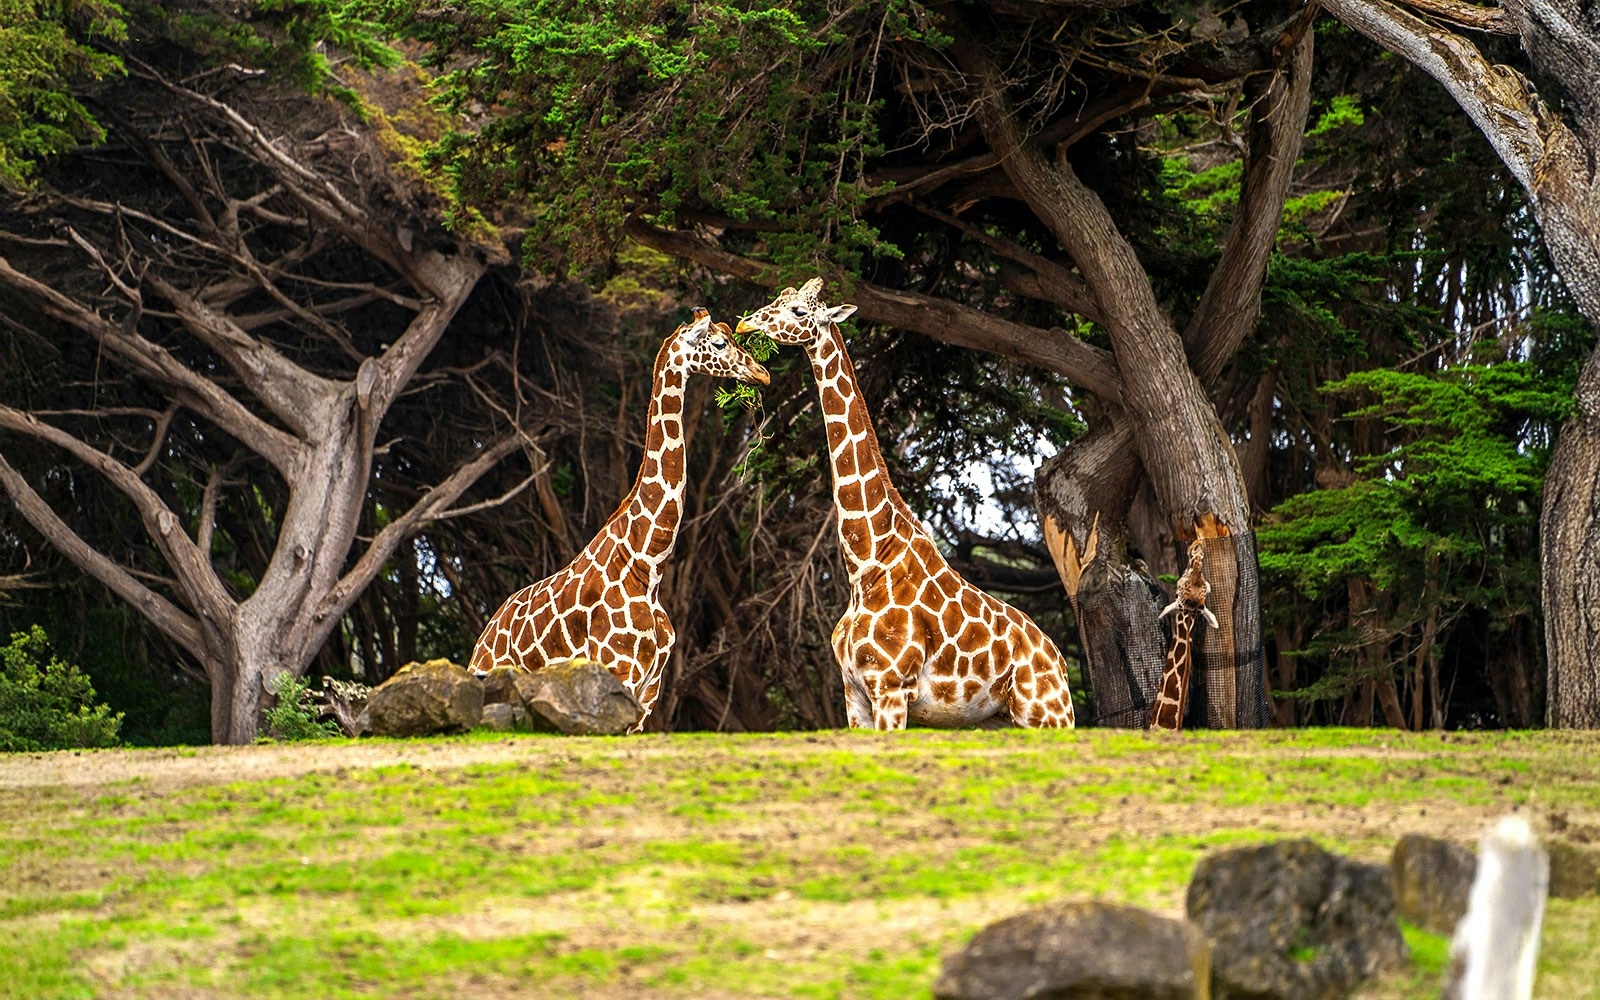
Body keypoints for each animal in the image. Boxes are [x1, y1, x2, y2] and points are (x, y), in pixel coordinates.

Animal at [467, 308, 768, 729]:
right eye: (720, 342)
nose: (762, 373)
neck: (647, 563)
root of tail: (483, 639)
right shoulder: (618, 668)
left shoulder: (650, 689)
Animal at [736, 276, 1075, 729]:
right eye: (779, 297)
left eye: (798, 311)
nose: (745, 323)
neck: (865, 563)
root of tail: (1060, 661)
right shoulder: (854, 695)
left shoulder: (891, 688)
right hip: (999, 718)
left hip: (1047, 712)